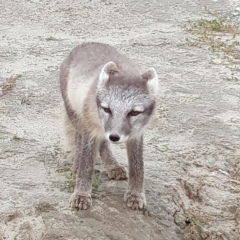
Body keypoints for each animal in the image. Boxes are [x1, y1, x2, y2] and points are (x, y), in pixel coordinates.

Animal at [59, 42, 158, 210]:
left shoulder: (136, 134)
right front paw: (81, 194)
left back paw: (113, 166)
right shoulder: (91, 130)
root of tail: (87, 43)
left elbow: (138, 166)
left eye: (134, 112)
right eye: (107, 109)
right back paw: (77, 164)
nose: (115, 136)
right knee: (80, 140)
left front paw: (135, 194)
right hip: (76, 116)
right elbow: (86, 164)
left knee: (103, 143)